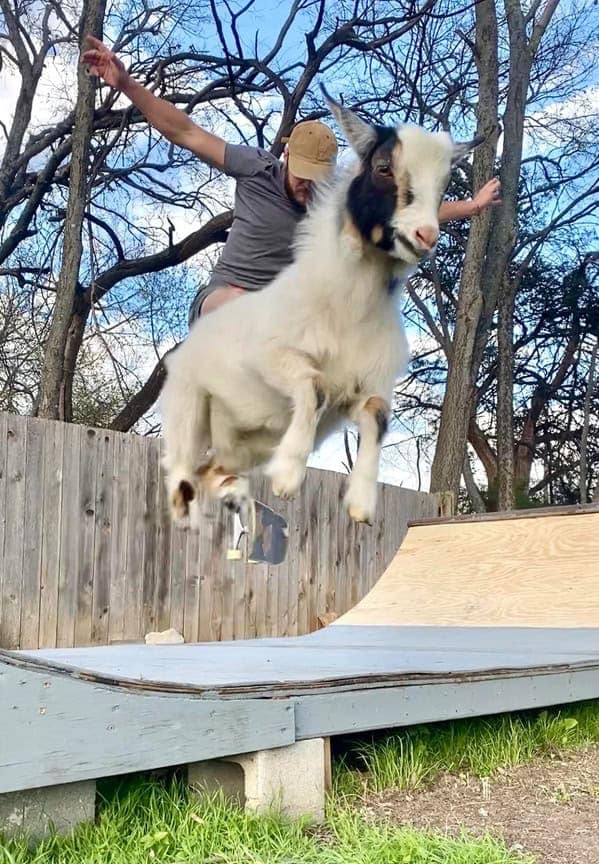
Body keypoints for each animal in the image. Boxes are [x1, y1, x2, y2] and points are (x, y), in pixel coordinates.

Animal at [159, 91, 481, 526]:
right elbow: (315, 386)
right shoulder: (269, 357)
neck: (347, 310)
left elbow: (376, 413)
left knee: (213, 469)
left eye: (446, 183)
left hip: (238, 448)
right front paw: (287, 475)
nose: (426, 235)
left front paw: (361, 502)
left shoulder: (364, 388)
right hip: (188, 409)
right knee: (181, 471)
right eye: (383, 167)